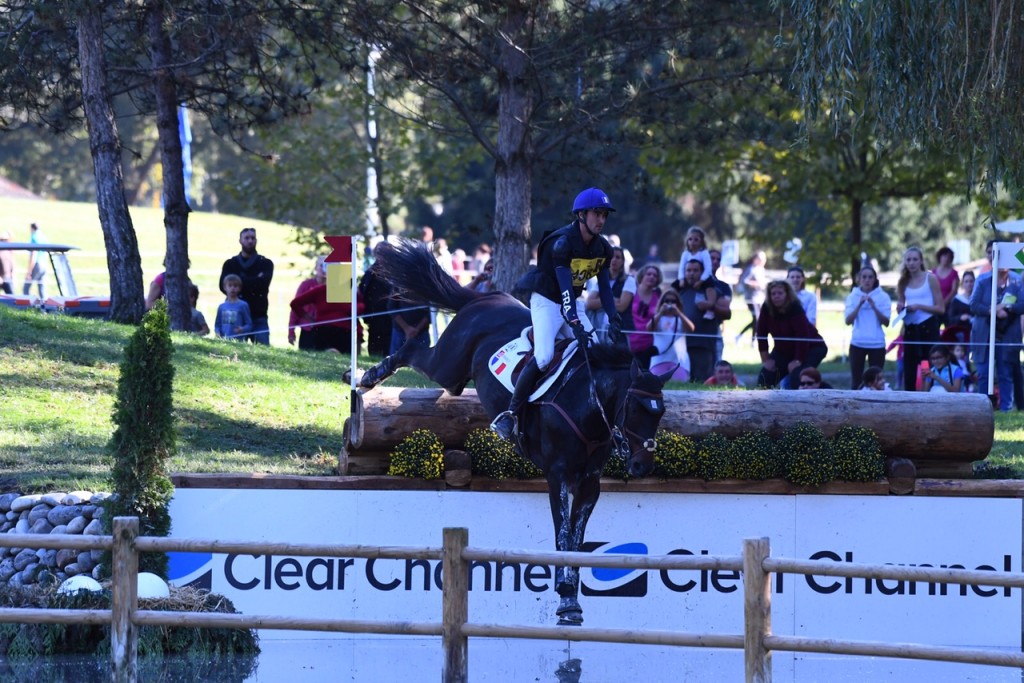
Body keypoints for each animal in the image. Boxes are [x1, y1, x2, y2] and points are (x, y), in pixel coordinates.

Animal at [356, 240, 667, 626]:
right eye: (636, 409)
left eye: (660, 413)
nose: (642, 466)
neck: (589, 405)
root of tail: (486, 298)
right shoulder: (557, 475)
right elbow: (563, 534)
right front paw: (566, 598)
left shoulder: (590, 483)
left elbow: (577, 539)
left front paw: (572, 599)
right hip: (449, 365)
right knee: (415, 350)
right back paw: (367, 377)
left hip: (454, 373)